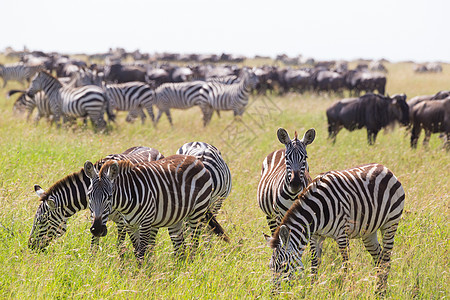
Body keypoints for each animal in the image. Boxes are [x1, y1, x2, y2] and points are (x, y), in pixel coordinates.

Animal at [27, 146, 163, 251]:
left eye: (42, 221)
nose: (30, 246)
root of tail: (151, 148)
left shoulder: (122, 221)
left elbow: (120, 247)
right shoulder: (95, 218)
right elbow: (94, 245)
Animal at [84, 155, 227, 260]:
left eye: (109, 196)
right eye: (89, 195)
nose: (96, 230)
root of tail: (196, 160)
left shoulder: (146, 222)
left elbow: (141, 253)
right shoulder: (130, 225)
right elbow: (137, 250)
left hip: (197, 212)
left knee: (194, 243)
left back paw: (189, 268)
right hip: (176, 218)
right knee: (180, 248)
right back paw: (178, 272)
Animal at [266, 163, 406, 292]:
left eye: (283, 265)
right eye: (271, 266)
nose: (273, 292)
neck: (317, 212)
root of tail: (384, 168)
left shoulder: (342, 235)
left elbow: (346, 265)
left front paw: (347, 290)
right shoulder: (315, 236)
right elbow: (314, 264)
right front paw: (312, 289)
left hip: (390, 223)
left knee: (386, 259)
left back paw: (381, 292)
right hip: (368, 232)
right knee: (379, 260)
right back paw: (378, 289)